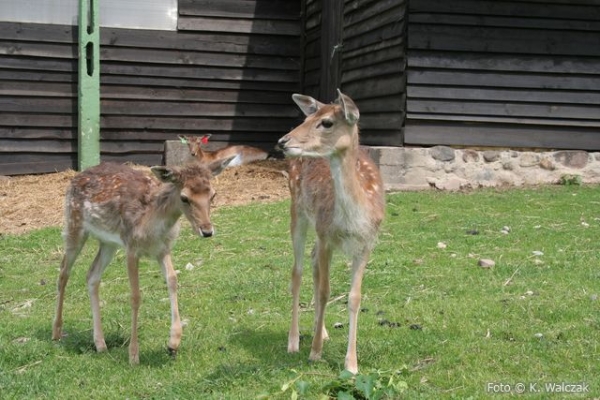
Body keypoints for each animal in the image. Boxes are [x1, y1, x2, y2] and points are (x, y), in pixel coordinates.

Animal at [52, 158, 232, 364]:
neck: (152, 223)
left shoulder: (163, 249)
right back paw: (56, 332)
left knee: (91, 275)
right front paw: (133, 355)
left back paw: (100, 344)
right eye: (184, 198)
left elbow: (173, 280)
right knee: (63, 271)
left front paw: (173, 343)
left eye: (213, 195)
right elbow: (135, 296)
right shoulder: (131, 247)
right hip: (73, 224)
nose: (207, 231)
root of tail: (75, 177)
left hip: (108, 242)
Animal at [276, 89, 384, 374]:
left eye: (326, 122)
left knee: (312, 261)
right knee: (297, 272)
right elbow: (325, 290)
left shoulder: (366, 244)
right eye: (307, 117)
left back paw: (321, 330)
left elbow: (355, 297)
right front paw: (314, 353)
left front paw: (352, 364)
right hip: (297, 211)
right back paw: (294, 341)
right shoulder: (326, 236)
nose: (283, 141)